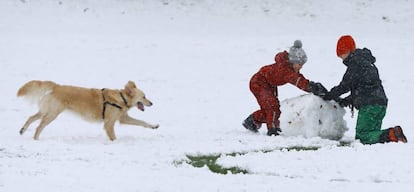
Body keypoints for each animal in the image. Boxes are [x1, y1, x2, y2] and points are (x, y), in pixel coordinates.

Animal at [17, 80, 158, 140]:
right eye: (144, 97)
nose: (152, 103)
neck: (121, 98)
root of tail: (57, 86)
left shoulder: (122, 118)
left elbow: (141, 122)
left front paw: (153, 126)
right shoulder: (109, 123)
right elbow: (113, 137)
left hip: (47, 111)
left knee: (31, 117)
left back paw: (22, 130)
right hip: (52, 113)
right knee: (38, 127)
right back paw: (36, 139)